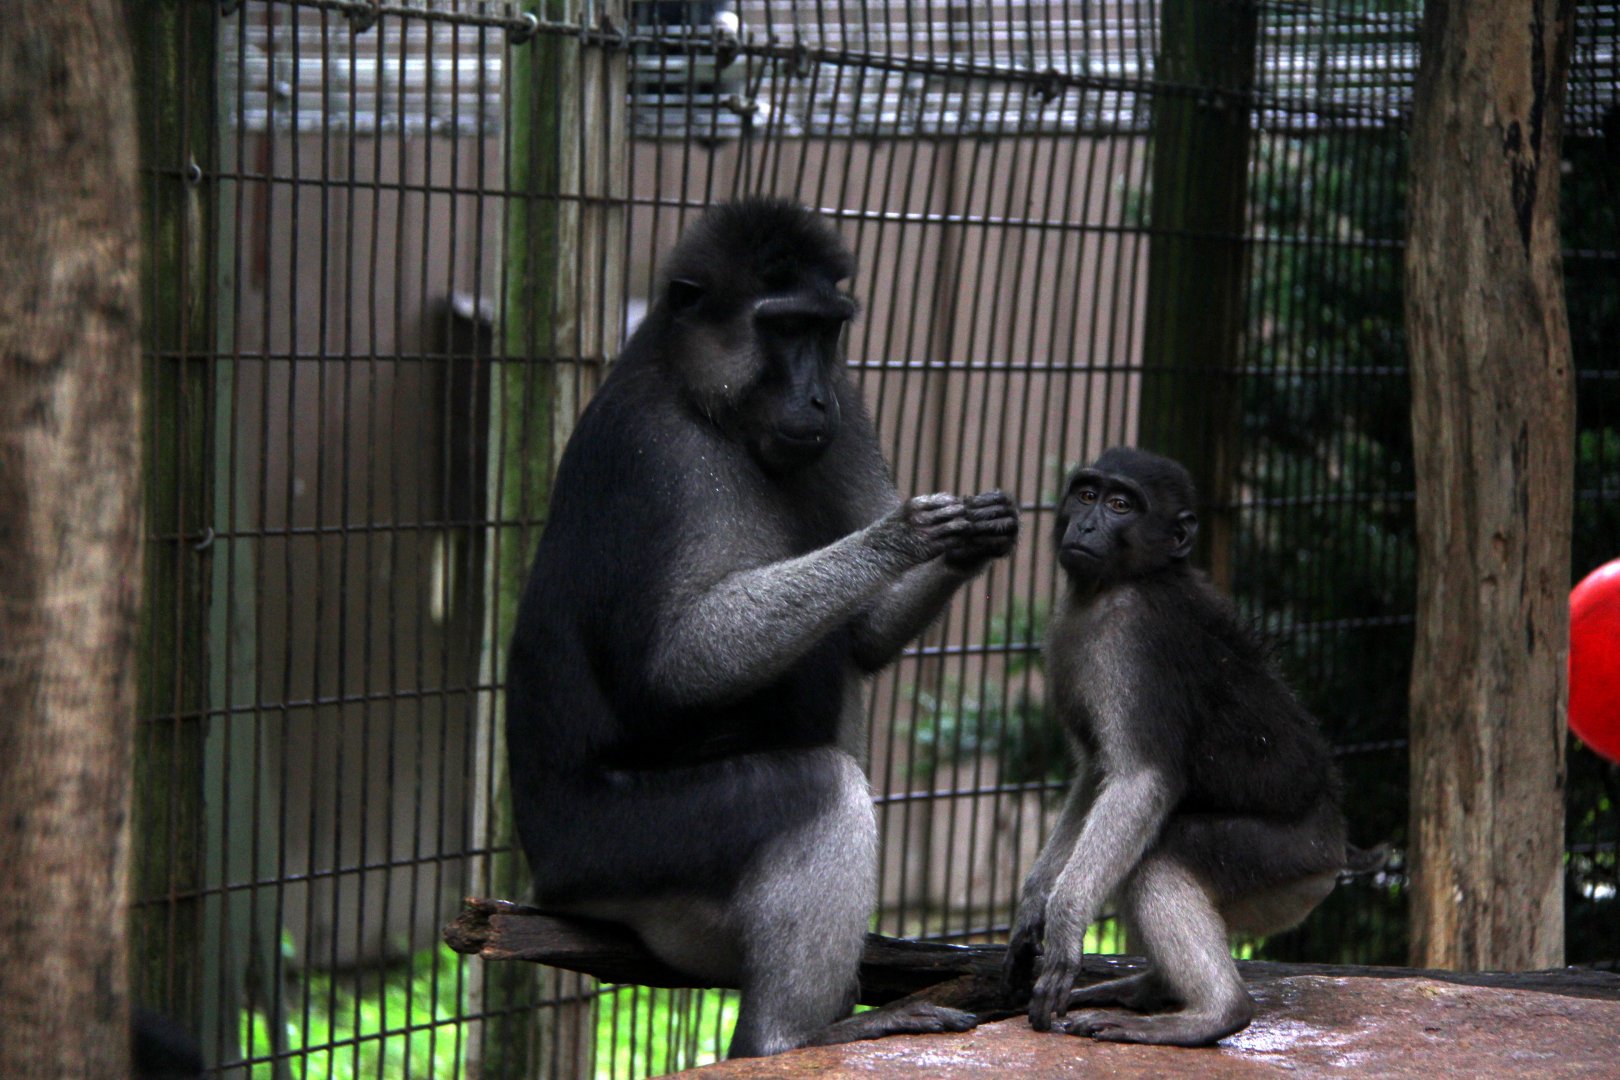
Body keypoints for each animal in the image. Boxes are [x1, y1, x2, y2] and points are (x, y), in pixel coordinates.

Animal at [505, 198, 1019, 1058]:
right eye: (782, 328)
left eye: (826, 330)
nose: (815, 400)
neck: (702, 397)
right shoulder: (658, 455)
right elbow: (674, 670)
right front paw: (901, 536)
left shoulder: (852, 411)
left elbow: (868, 633)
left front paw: (975, 533)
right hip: (614, 855)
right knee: (821, 784)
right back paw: (791, 1037)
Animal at [1001, 446, 1383, 1047]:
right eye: (1086, 495)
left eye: (1120, 505)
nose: (1084, 525)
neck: (1125, 581)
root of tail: (1337, 847)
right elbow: (1097, 773)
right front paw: (1034, 904)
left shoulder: (1131, 639)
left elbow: (1139, 781)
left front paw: (1064, 923)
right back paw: (1153, 990)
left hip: (1286, 859)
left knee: (1158, 856)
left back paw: (1215, 1013)